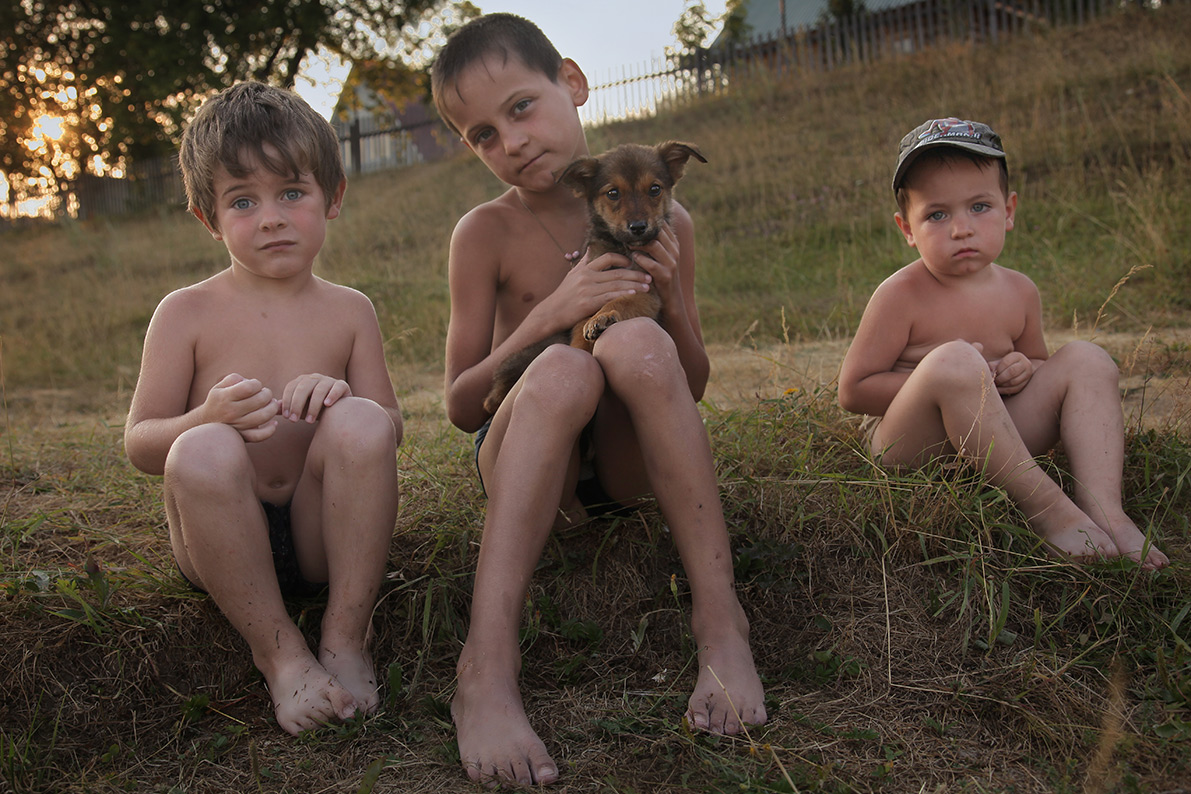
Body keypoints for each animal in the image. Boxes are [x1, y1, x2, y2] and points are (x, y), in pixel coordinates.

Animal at [483, 141, 705, 416]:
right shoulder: (586, 297)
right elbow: (580, 334)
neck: (623, 248)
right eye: (613, 193)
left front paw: (605, 316)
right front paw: (584, 344)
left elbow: (622, 301)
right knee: (492, 397)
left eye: (655, 189)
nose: (638, 227)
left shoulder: (648, 291)